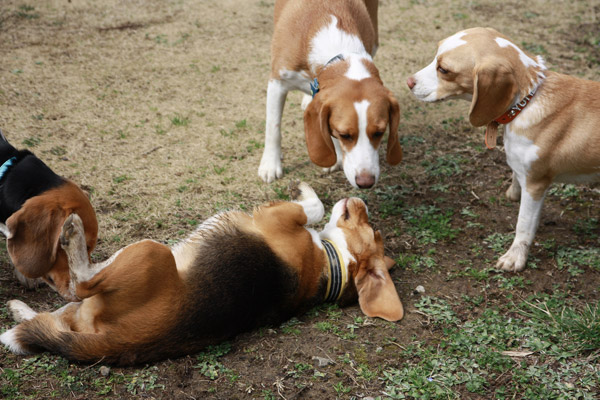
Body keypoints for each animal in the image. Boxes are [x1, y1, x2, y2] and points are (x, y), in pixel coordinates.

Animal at [1, 183, 404, 364]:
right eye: (374, 228)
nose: (361, 199)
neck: (330, 264)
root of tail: (126, 343)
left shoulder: (279, 218)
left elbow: (313, 207)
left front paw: (307, 193)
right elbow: (316, 208)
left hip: (152, 253)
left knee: (80, 283)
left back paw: (72, 236)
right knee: (59, 315)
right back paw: (21, 312)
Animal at [258, 0, 404, 189]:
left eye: (380, 132)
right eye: (345, 135)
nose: (366, 183)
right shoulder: (277, 82)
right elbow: (273, 127)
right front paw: (270, 165)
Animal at [406, 26, 600, 272]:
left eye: (444, 70)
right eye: (435, 57)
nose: (408, 82)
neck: (527, 102)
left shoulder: (536, 184)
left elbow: (523, 225)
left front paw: (515, 258)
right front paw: (513, 192)